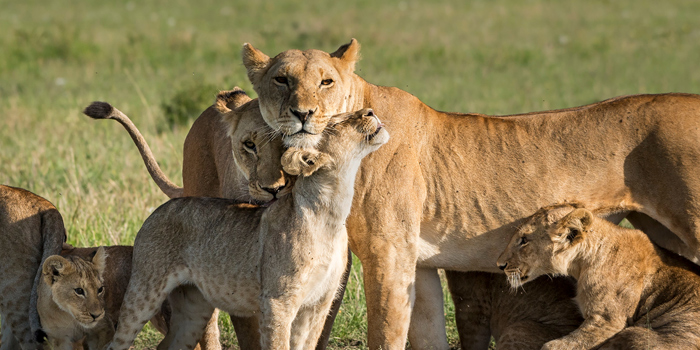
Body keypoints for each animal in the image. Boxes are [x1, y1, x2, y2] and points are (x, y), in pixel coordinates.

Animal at [494, 204, 700, 348]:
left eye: (524, 240)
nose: (500, 265)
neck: (582, 263)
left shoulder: (607, 321)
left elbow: (553, 346)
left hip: (635, 335)